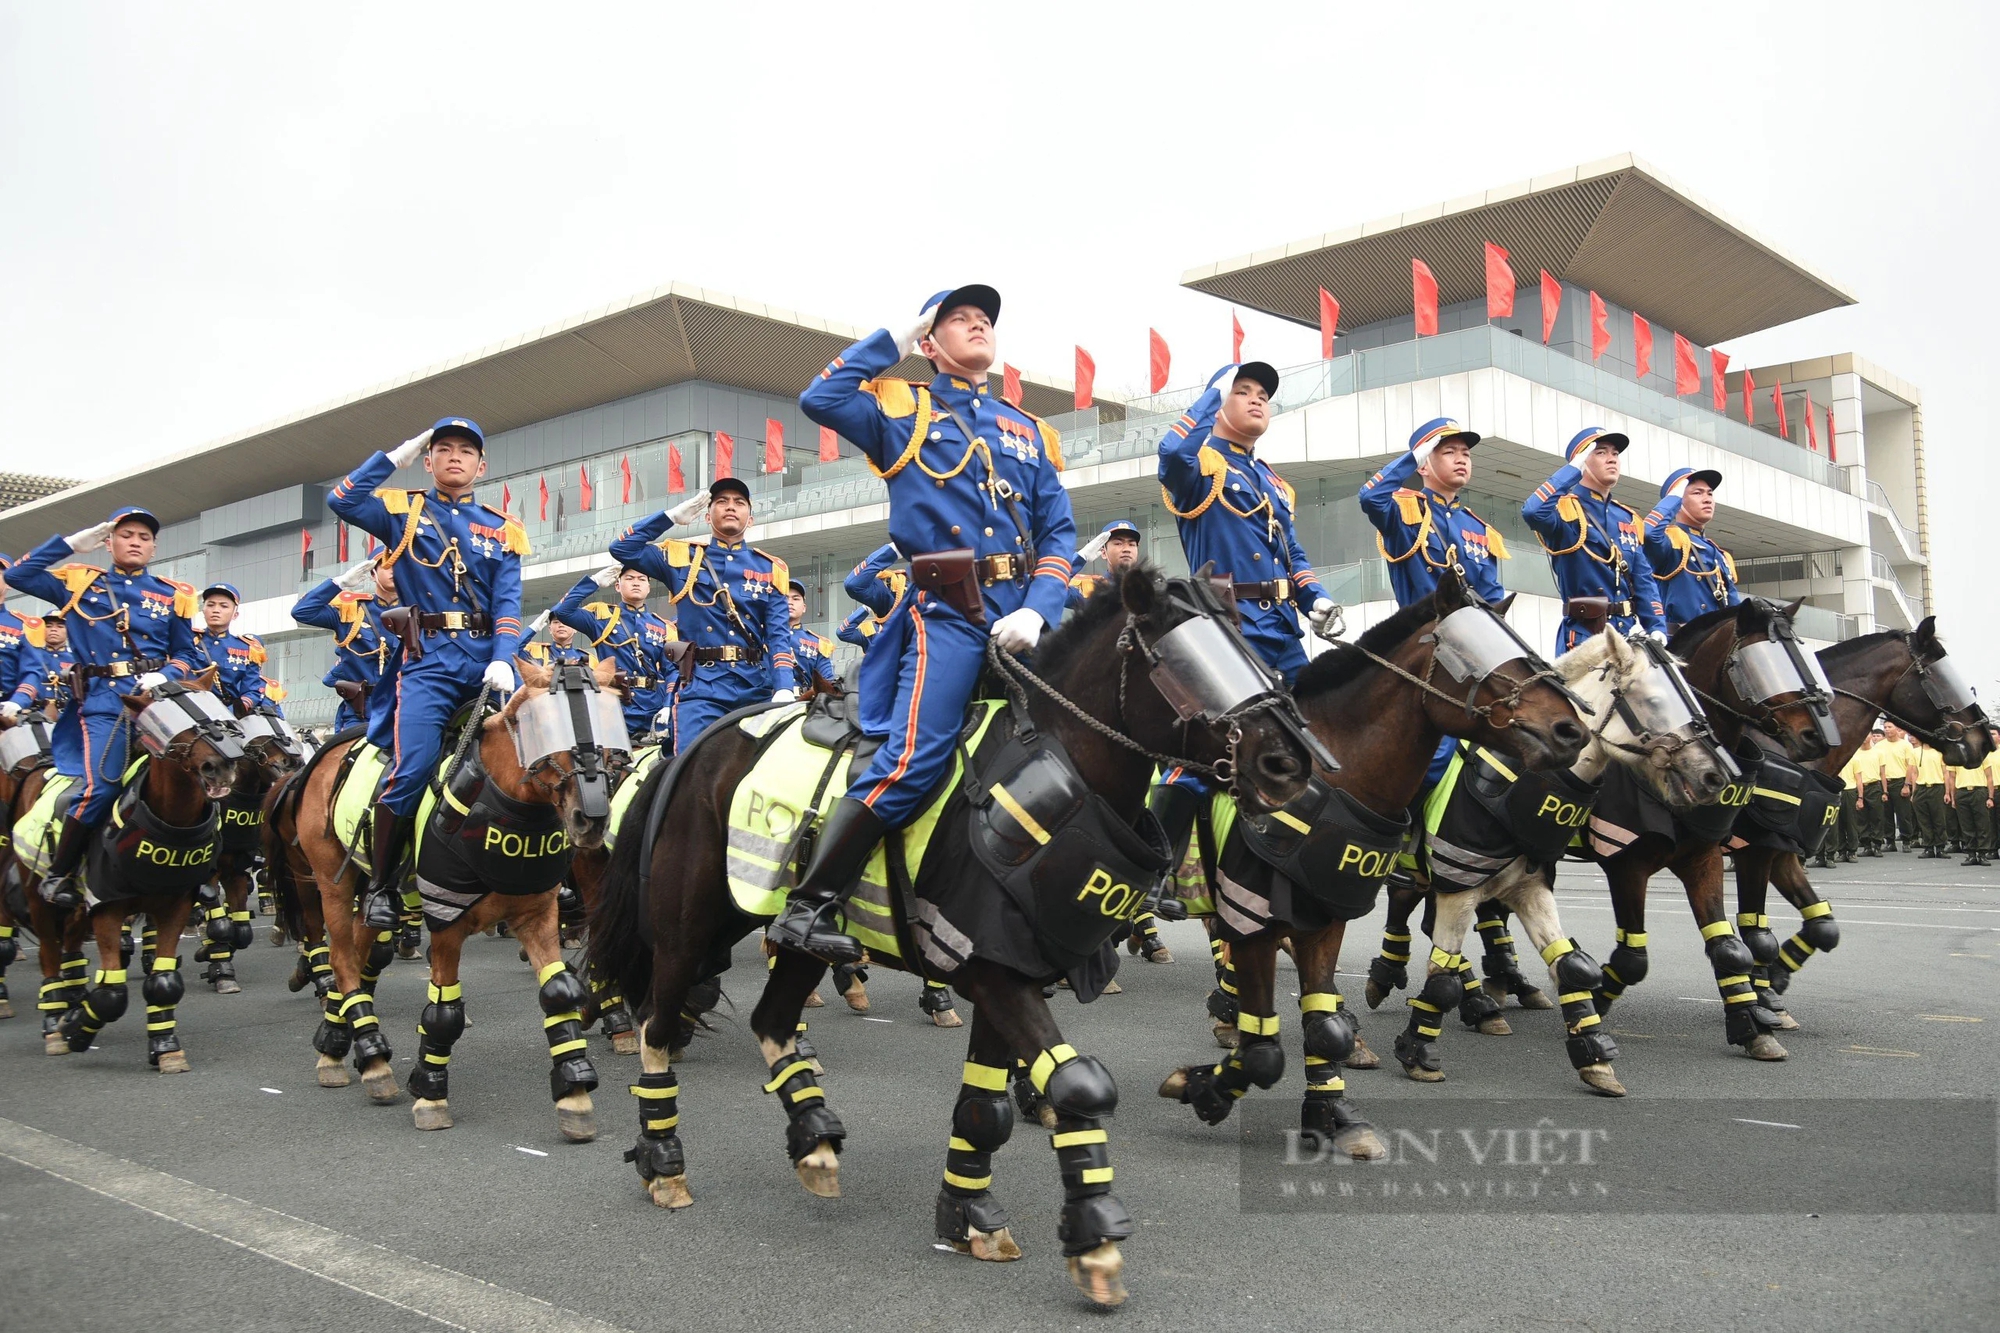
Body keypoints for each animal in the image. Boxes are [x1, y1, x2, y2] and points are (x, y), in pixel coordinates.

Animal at [268, 652, 624, 1128]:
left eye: (610, 725)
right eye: (543, 727)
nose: (593, 818)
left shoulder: (537, 916)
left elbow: (558, 993)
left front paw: (575, 1090)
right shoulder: (446, 924)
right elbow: (444, 1013)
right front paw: (431, 1092)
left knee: (360, 954)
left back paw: (337, 1044)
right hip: (333, 884)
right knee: (342, 960)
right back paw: (372, 1057)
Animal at [584, 564, 1320, 1304]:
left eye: (1247, 647)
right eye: (1183, 658)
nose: (1289, 762)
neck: (1063, 773)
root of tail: (699, 744)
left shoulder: (1013, 967)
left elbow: (985, 1108)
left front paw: (970, 1212)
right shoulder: (990, 971)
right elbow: (1079, 1085)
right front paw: (1095, 1239)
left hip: (798, 940)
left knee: (773, 1017)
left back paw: (812, 1135)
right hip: (689, 925)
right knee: (657, 1023)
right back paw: (662, 1159)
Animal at [1160, 580, 1592, 1152]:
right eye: (1483, 659)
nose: (1571, 731)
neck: (1330, 780)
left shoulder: (1328, 916)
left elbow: (1321, 1020)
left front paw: (1334, 1114)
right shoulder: (1252, 916)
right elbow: (1263, 1041)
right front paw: (1205, 1088)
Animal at [1392, 624, 1736, 1088]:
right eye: (1653, 700)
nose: (1715, 776)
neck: (1513, 788)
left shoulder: (1529, 888)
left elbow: (1569, 964)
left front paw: (1595, 1059)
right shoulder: (1458, 891)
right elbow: (1440, 974)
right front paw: (1417, 1051)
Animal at [1728, 612, 1992, 1016]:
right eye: (1940, 676)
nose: (1986, 742)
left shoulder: (1782, 849)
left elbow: (1823, 926)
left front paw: (1774, 979)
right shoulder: (1755, 849)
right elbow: (1756, 926)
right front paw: (1758, 996)